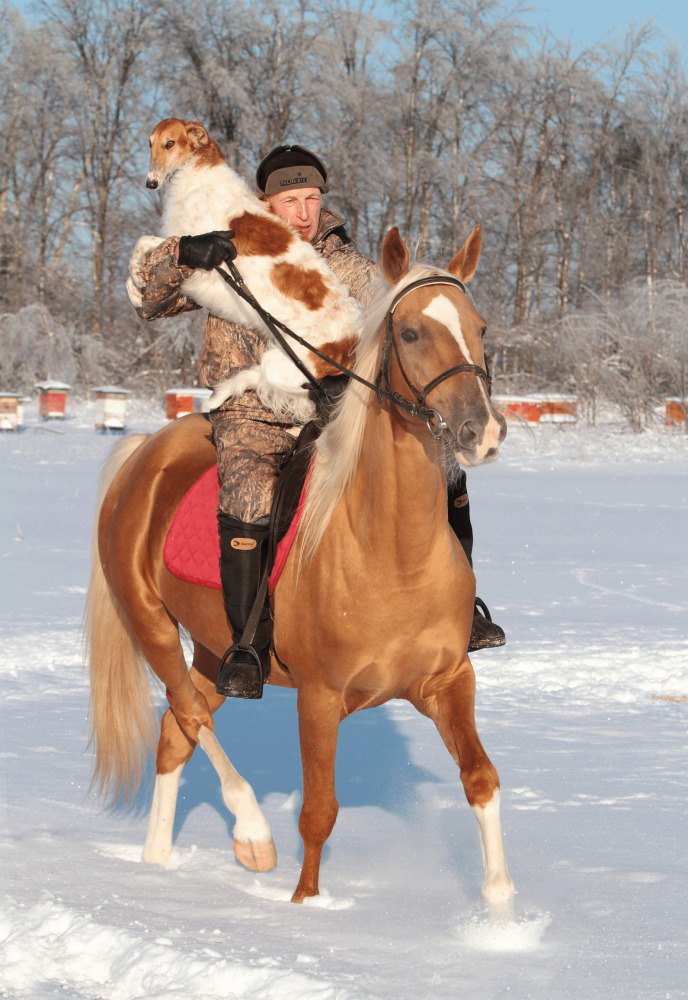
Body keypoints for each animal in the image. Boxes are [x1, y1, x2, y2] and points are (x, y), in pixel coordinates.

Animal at [86, 227, 512, 916]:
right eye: (411, 333)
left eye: (479, 327)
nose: (483, 432)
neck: (391, 551)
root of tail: (144, 453)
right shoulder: (319, 698)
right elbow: (318, 812)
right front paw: (305, 910)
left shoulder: (449, 681)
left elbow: (481, 779)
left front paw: (502, 912)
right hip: (151, 625)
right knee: (191, 716)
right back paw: (252, 835)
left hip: (216, 651)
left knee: (175, 732)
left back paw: (155, 865)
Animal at [127, 118, 362, 422]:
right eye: (150, 143)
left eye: (170, 143)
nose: (150, 182)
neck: (197, 176)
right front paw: (137, 289)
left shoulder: (189, 248)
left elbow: (145, 244)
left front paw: (137, 279)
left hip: (286, 365)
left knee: (267, 380)